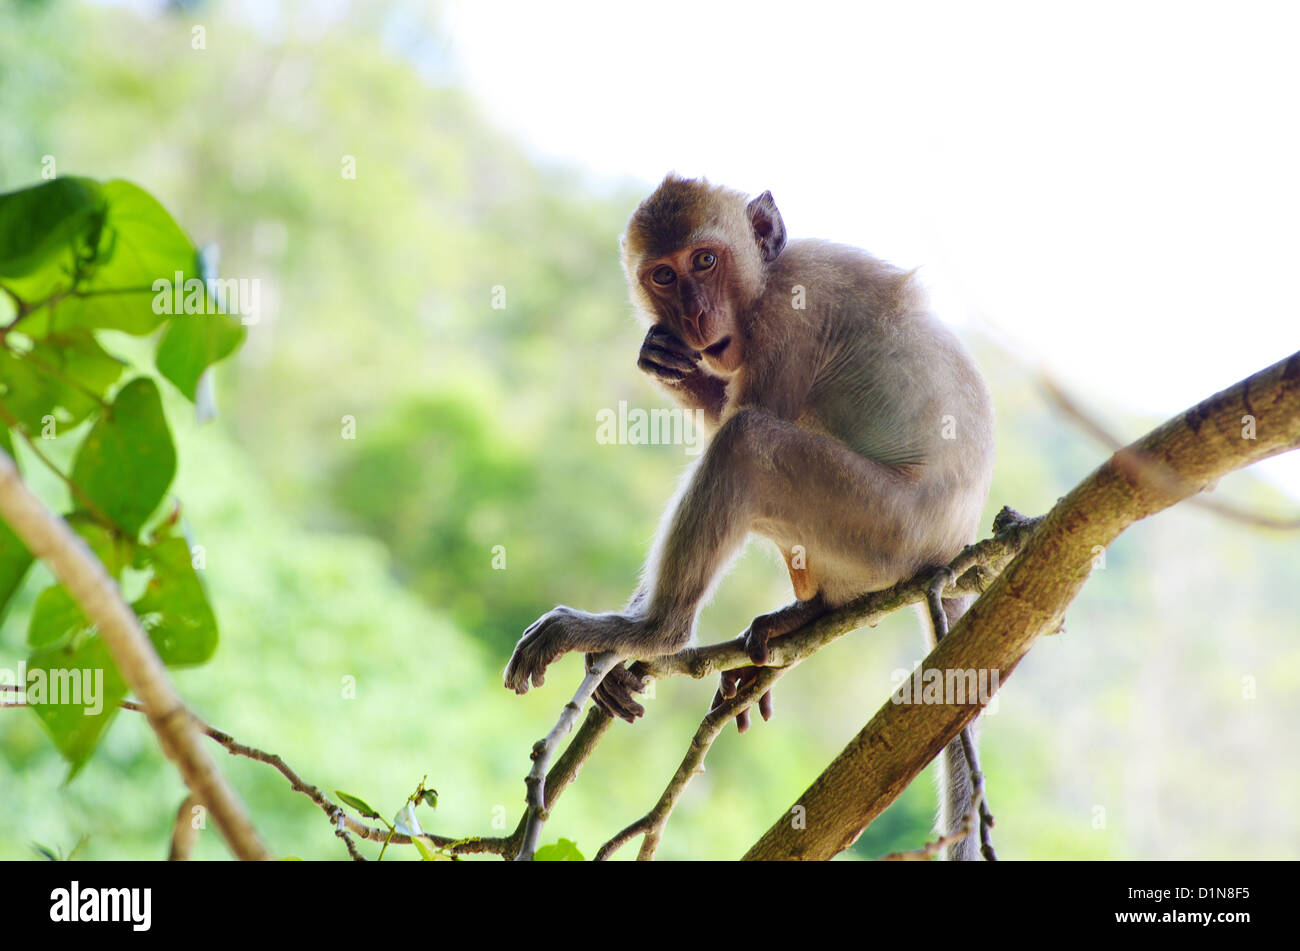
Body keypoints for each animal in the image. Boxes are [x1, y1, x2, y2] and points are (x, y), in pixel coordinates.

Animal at [506, 174, 993, 857]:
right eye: (663, 275)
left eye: (705, 261)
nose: (692, 316)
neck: (765, 279)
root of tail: (952, 547)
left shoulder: (789, 315)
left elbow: (740, 421)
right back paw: (801, 617)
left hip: (885, 527)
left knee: (746, 444)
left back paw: (654, 630)